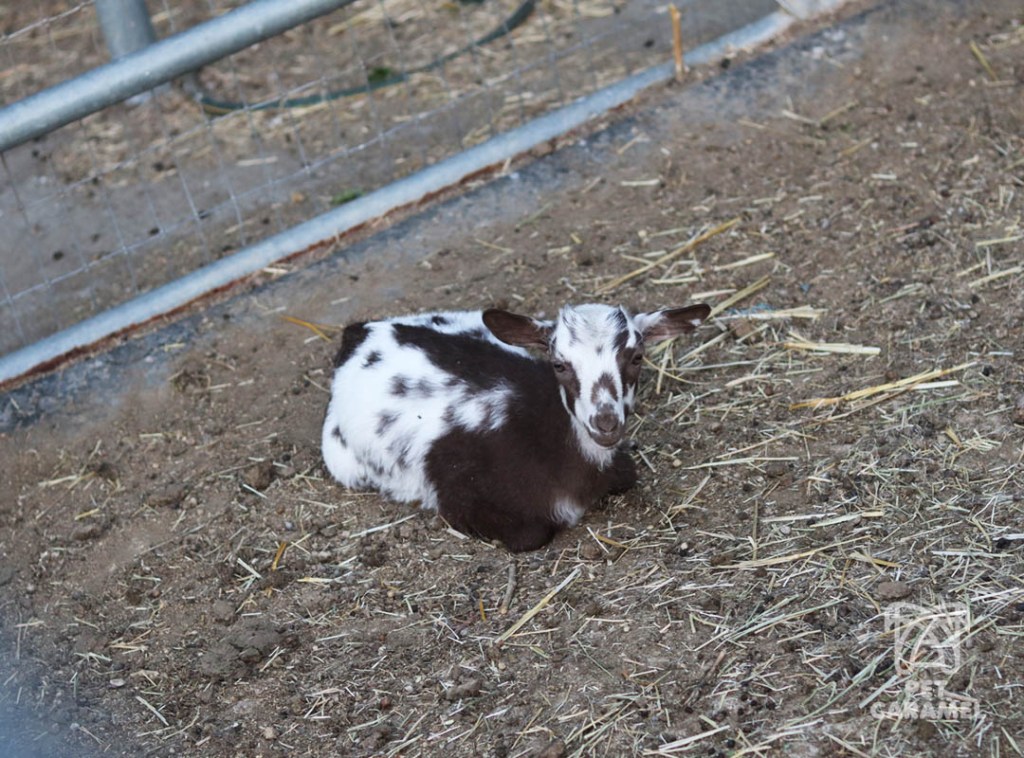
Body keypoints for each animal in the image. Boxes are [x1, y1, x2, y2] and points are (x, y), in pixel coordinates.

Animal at [322, 302, 710, 552]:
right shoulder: (459, 499)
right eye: (559, 364)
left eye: (636, 357)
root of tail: (360, 332)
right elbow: (530, 535)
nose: (605, 422)